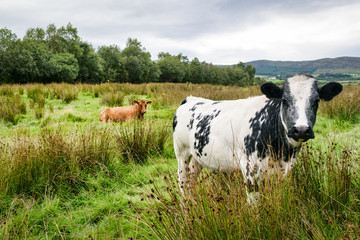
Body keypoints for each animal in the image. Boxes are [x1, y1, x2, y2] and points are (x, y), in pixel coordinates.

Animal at [173, 74, 342, 202]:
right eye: (284, 100)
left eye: (316, 101)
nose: (301, 130)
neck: (281, 151)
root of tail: (191, 99)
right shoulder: (250, 170)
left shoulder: (284, 171)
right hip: (181, 153)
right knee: (183, 182)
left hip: (198, 157)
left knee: (192, 179)